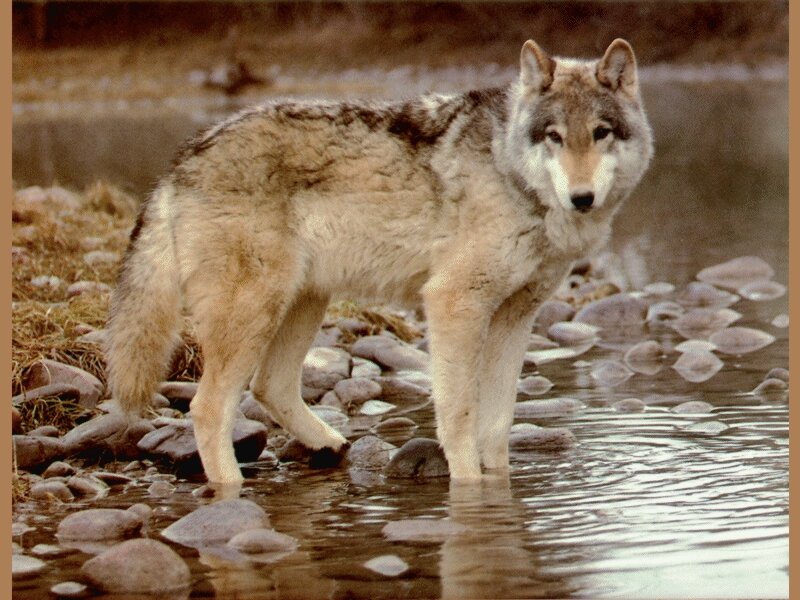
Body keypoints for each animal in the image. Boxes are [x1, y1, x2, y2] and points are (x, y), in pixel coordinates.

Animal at [106, 39, 653, 485]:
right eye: (554, 136)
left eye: (601, 133)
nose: (582, 198)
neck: (510, 172)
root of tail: (183, 158)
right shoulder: (454, 303)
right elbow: (460, 417)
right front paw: (467, 486)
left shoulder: (515, 318)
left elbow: (497, 424)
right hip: (254, 314)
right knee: (207, 408)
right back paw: (231, 492)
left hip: (304, 302)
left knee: (270, 387)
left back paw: (328, 446)